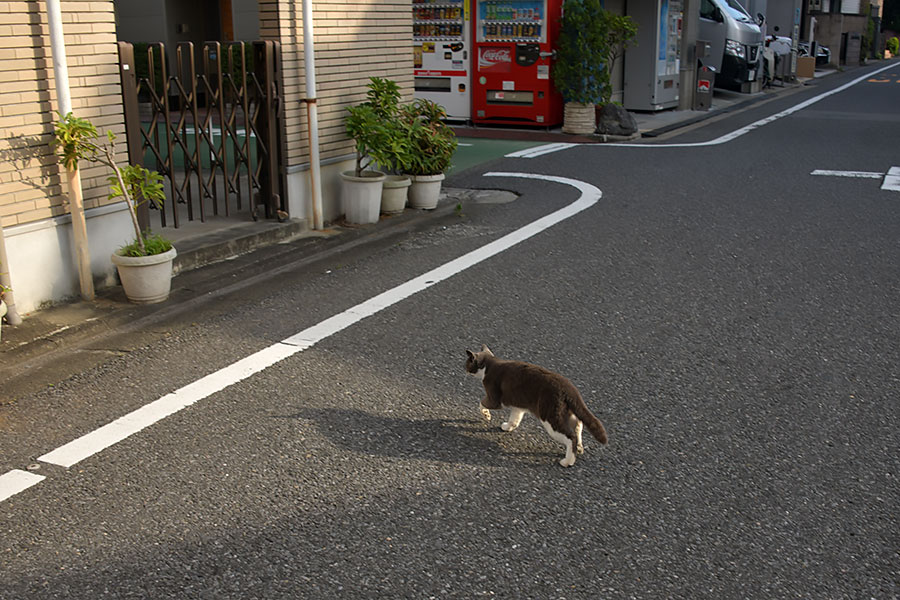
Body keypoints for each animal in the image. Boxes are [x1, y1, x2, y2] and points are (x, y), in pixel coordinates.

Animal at [468, 344, 608, 466]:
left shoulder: (494, 397)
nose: (464, 369)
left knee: (570, 436)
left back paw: (567, 461)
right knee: (578, 424)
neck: (490, 364)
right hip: (567, 412)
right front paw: (508, 427)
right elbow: (515, 418)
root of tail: (570, 389)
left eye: (467, 362)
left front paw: (486, 415)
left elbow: (482, 403)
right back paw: (579, 447)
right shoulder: (518, 405)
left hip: (550, 416)